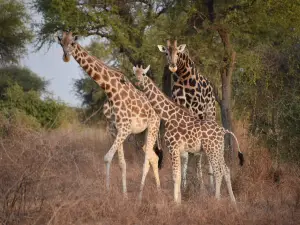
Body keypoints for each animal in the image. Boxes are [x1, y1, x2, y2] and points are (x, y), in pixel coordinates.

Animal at [132, 65, 243, 206]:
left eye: (144, 74)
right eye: (134, 74)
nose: (137, 81)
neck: (168, 116)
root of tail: (223, 131)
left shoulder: (173, 147)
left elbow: (175, 176)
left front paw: (175, 203)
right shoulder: (179, 149)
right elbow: (179, 175)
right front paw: (179, 201)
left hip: (211, 149)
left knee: (218, 172)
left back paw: (216, 199)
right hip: (219, 150)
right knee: (226, 170)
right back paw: (233, 201)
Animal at [157, 40, 216, 192]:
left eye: (178, 52)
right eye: (166, 53)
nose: (172, 66)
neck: (184, 77)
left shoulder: (198, 112)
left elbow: (198, 153)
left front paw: (200, 185)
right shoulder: (179, 110)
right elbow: (184, 154)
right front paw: (183, 185)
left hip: (210, 115)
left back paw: (211, 183)